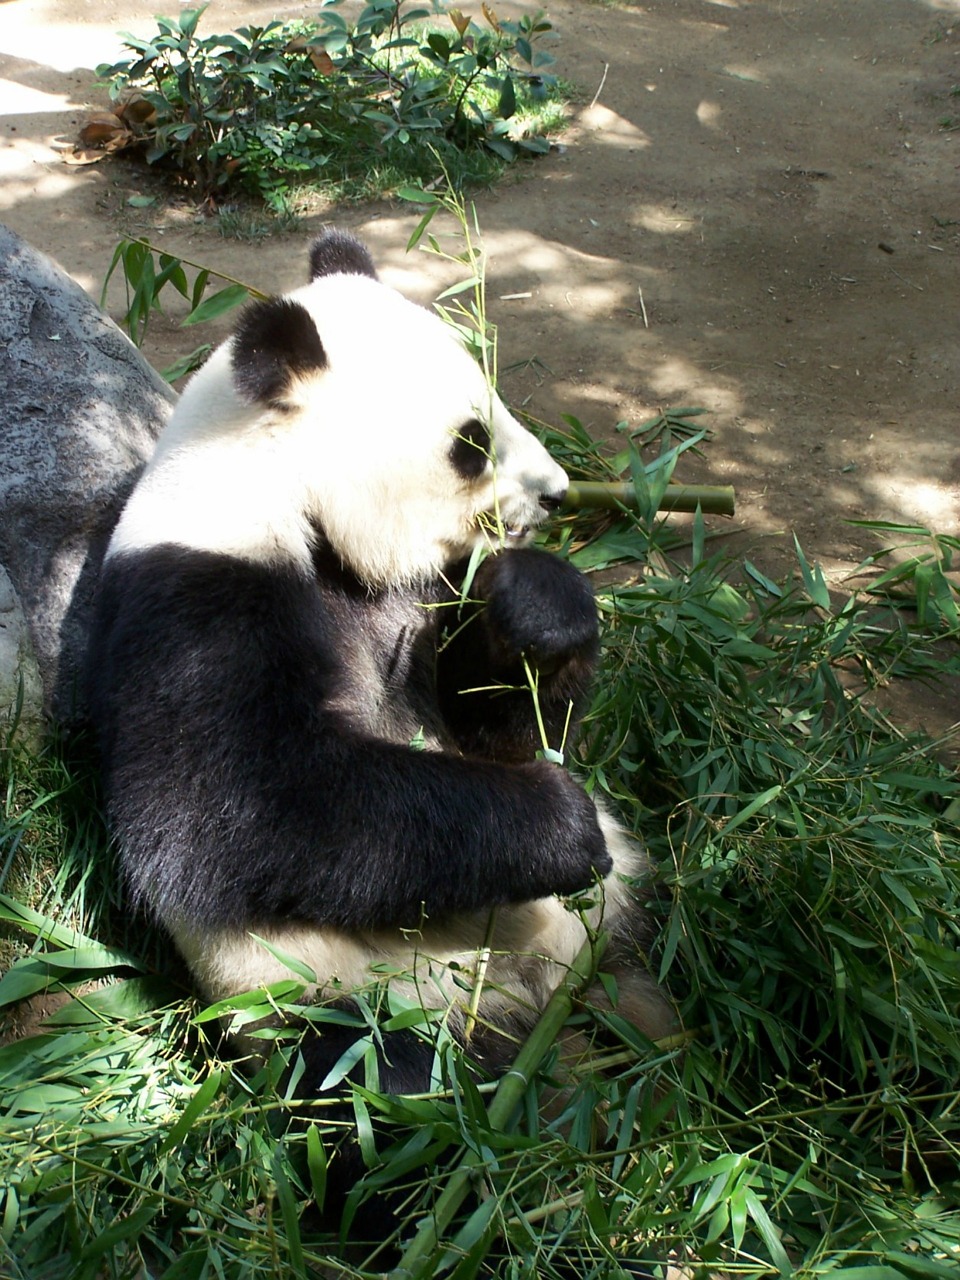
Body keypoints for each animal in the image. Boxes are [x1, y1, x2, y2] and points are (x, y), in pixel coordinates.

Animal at [88, 230, 675, 1218]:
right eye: (471, 442)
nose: (559, 494)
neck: (274, 481)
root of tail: (524, 1006)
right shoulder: (195, 597)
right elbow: (240, 809)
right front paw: (559, 824)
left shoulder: (420, 600)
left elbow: (501, 718)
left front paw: (537, 604)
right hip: (330, 1001)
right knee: (380, 1110)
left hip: (613, 925)